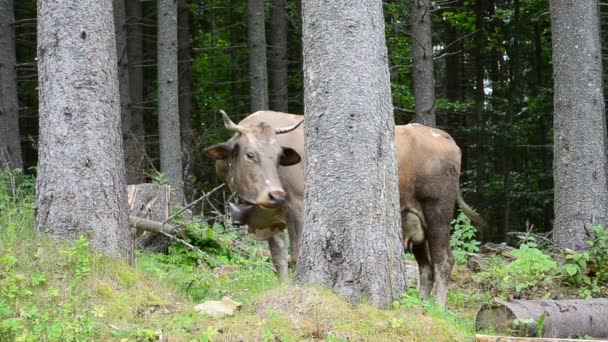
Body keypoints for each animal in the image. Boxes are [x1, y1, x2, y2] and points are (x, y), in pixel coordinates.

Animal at [207, 111, 486, 306]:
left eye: (278, 156)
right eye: (250, 154)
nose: (274, 194)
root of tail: (441, 135)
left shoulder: (297, 208)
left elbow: (295, 256)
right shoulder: (271, 221)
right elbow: (278, 260)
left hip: (438, 212)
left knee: (443, 261)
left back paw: (438, 308)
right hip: (415, 223)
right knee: (425, 267)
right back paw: (422, 306)